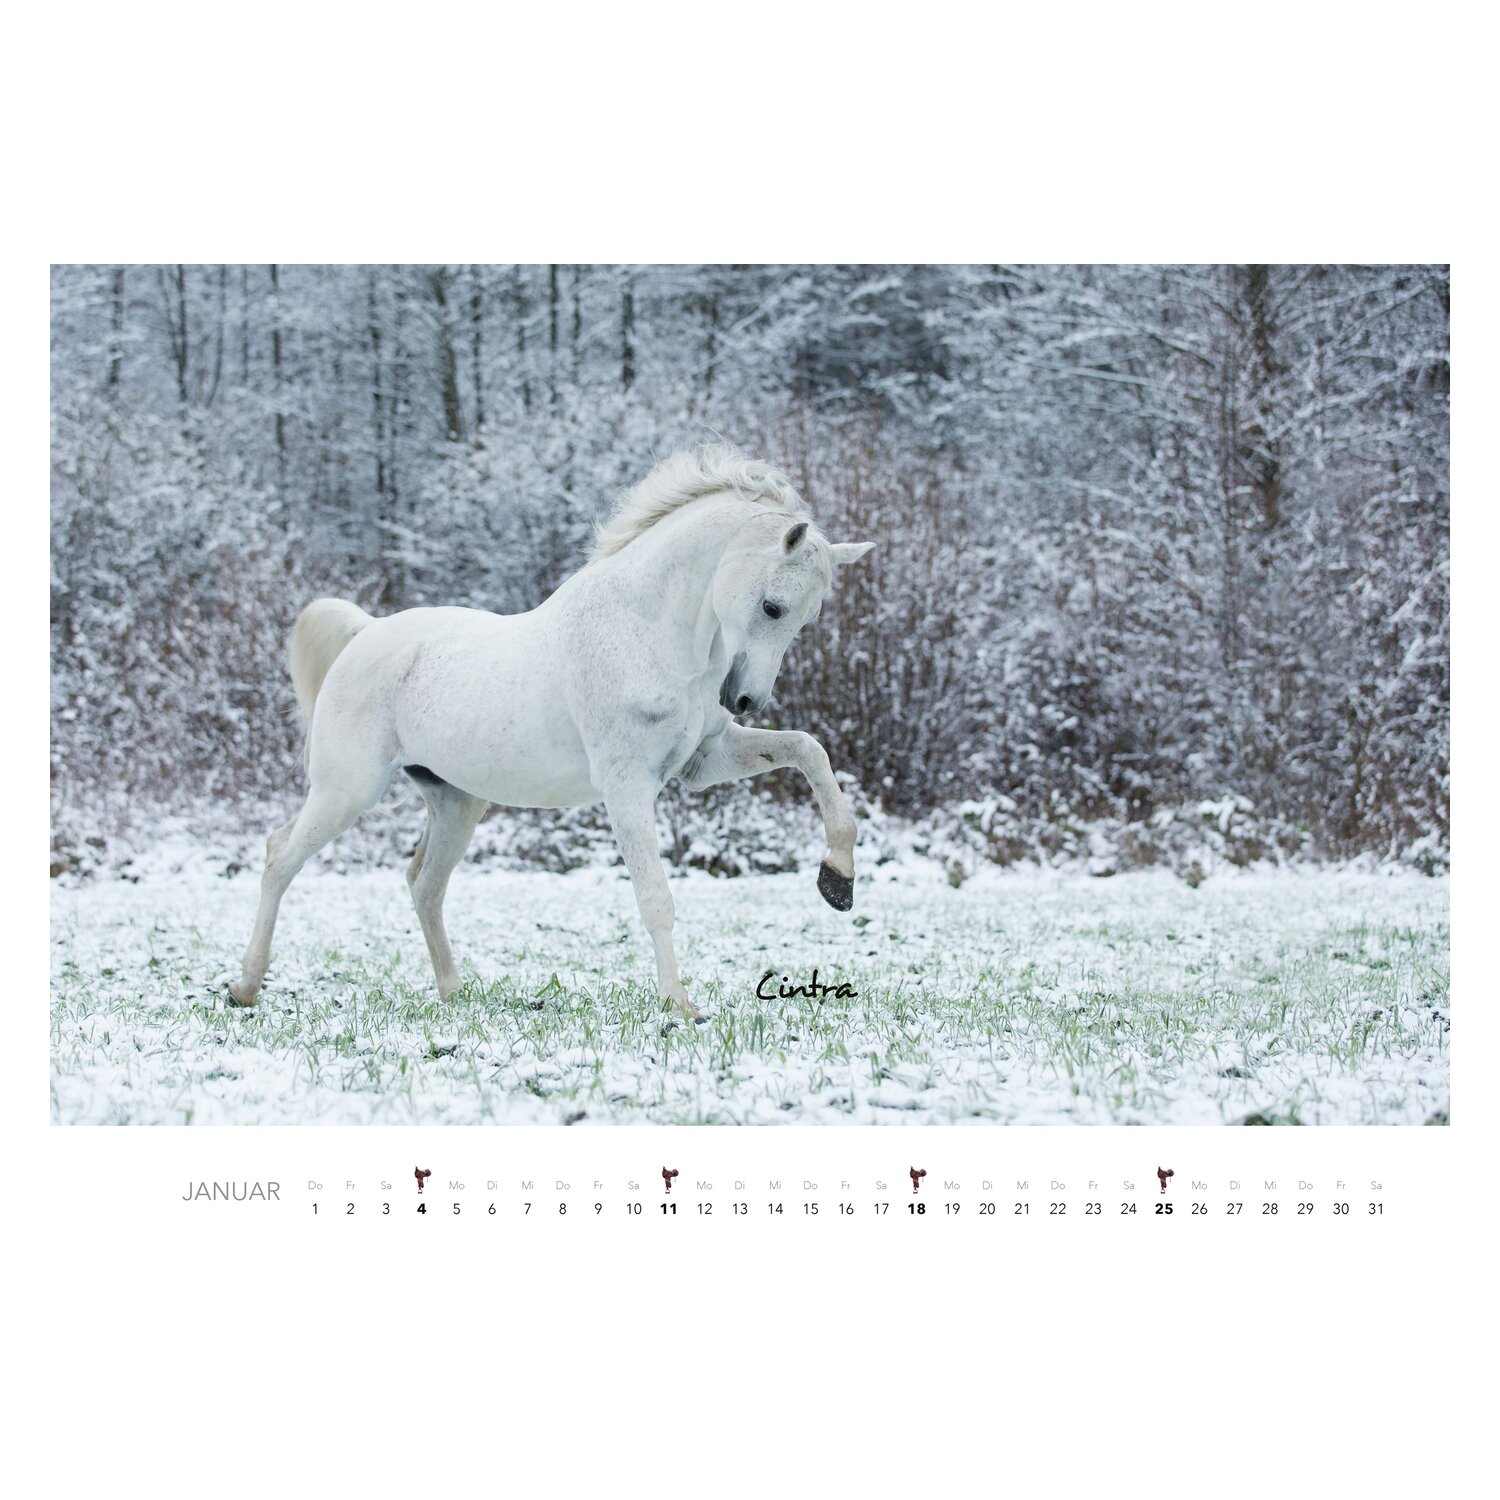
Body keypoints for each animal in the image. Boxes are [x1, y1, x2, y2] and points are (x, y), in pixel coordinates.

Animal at [228, 445, 874, 1023]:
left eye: (806, 617)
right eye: (772, 607)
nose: (743, 699)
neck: (645, 633)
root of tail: (365, 633)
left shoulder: (702, 763)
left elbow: (808, 750)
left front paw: (837, 879)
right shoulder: (626, 787)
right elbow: (656, 899)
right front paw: (680, 1007)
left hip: (456, 803)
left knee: (423, 885)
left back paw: (454, 994)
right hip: (348, 791)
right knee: (279, 858)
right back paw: (245, 988)